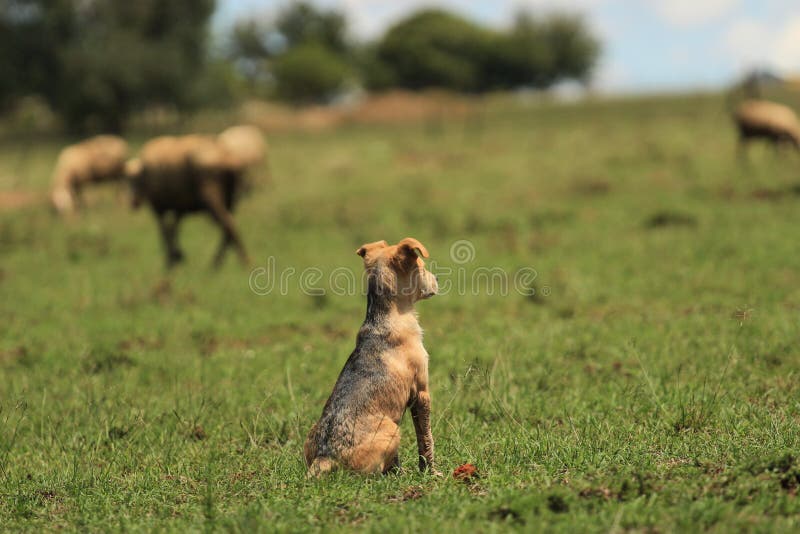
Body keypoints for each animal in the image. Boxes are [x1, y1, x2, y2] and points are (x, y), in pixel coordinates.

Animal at [128, 134, 250, 268]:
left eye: (133, 180)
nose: (133, 202)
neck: (145, 173)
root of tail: (226, 156)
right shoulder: (179, 208)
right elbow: (174, 229)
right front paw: (177, 256)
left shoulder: (158, 207)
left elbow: (165, 232)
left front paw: (172, 258)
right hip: (231, 199)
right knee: (229, 226)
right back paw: (218, 263)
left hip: (211, 198)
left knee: (228, 224)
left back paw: (237, 261)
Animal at [306, 239, 440, 478]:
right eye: (422, 267)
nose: (438, 280)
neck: (387, 315)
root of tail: (325, 456)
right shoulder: (421, 392)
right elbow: (426, 439)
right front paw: (431, 473)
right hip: (392, 429)